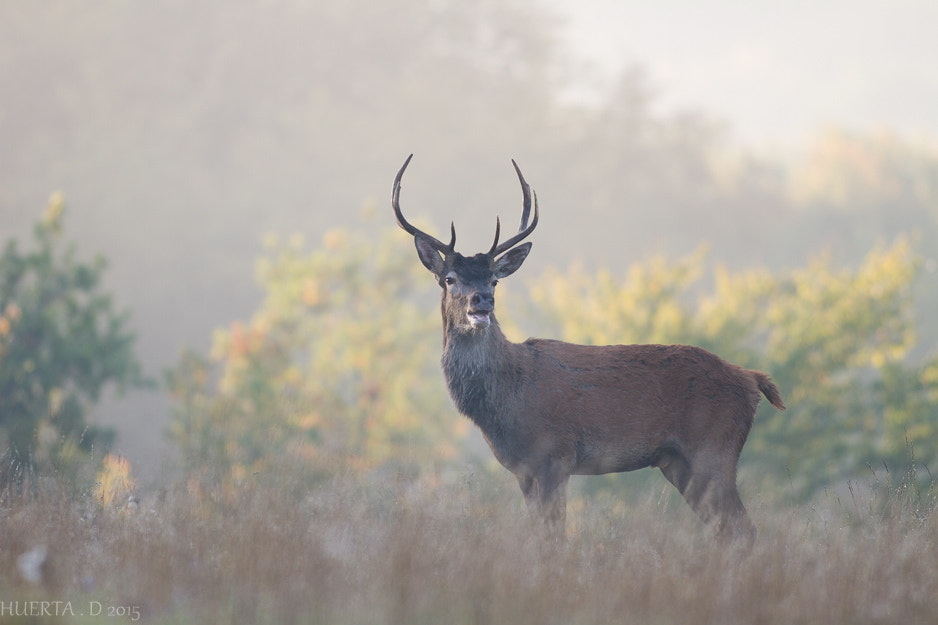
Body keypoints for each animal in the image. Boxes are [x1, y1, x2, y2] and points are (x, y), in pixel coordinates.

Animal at [392, 152, 788, 540]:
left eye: (493, 279)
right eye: (449, 278)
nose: (482, 302)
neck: (506, 397)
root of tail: (751, 379)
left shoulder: (555, 454)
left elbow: (555, 536)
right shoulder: (523, 470)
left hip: (715, 448)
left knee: (743, 529)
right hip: (679, 462)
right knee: (728, 529)